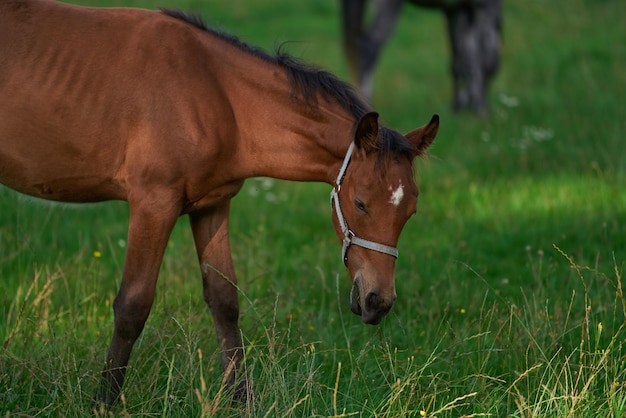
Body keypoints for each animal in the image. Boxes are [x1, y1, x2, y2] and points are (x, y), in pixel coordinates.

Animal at [342, 0, 502, 113]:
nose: (466, 102)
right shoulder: (485, 8)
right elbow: (480, 61)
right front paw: (482, 111)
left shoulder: (454, 11)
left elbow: (459, 60)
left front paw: (457, 107)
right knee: (368, 49)